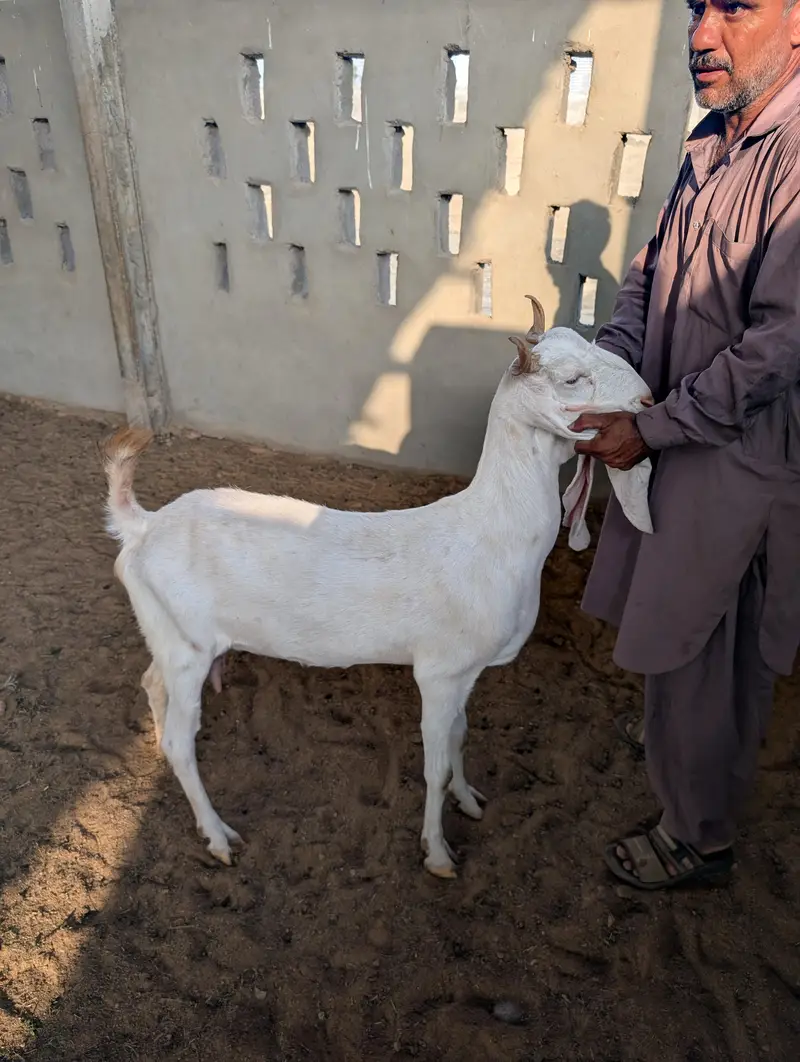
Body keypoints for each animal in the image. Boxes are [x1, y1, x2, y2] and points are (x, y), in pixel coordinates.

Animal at [102, 298, 653, 878]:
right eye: (572, 378)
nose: (646, 397)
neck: (492, 534)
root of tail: (140, 526)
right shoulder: (438, 670)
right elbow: (434, 767)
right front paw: (438, 853)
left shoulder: (466, 670)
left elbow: (460, 739)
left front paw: (469, 798)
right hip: (187, 647)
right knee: (181, 741)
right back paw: (217, 836)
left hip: (166, 635)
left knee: (152, 687)